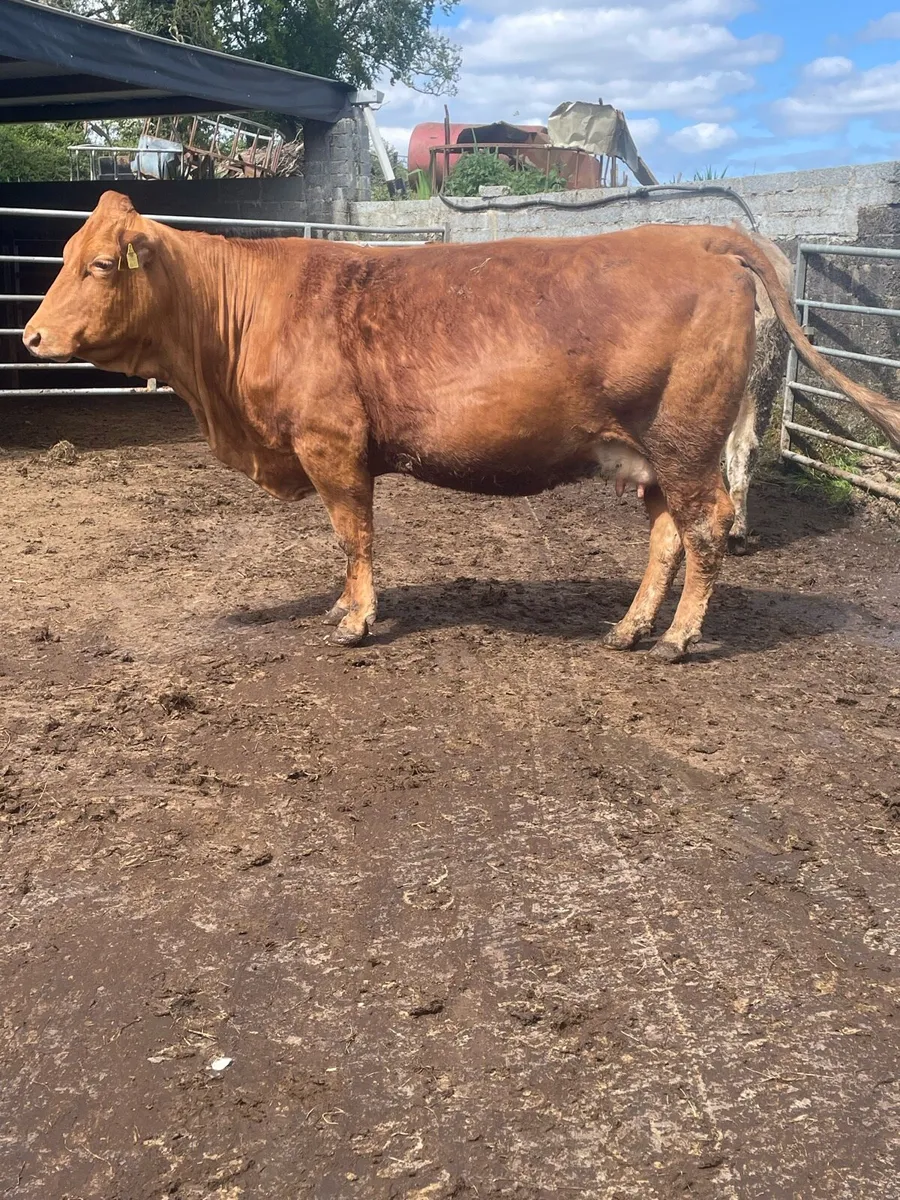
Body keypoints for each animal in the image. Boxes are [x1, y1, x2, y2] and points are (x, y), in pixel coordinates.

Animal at [23, 192, 900, 662]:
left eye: (98, 265)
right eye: (60, 254)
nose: (30, 337)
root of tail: (698, 235)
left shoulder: (331, 444)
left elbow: (352, 536)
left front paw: (354, 620)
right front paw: (344, 609)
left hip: (687, 440)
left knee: (708, 524)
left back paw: (678, 639)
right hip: (652, 453)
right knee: (667, 534)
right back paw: (628, 627)